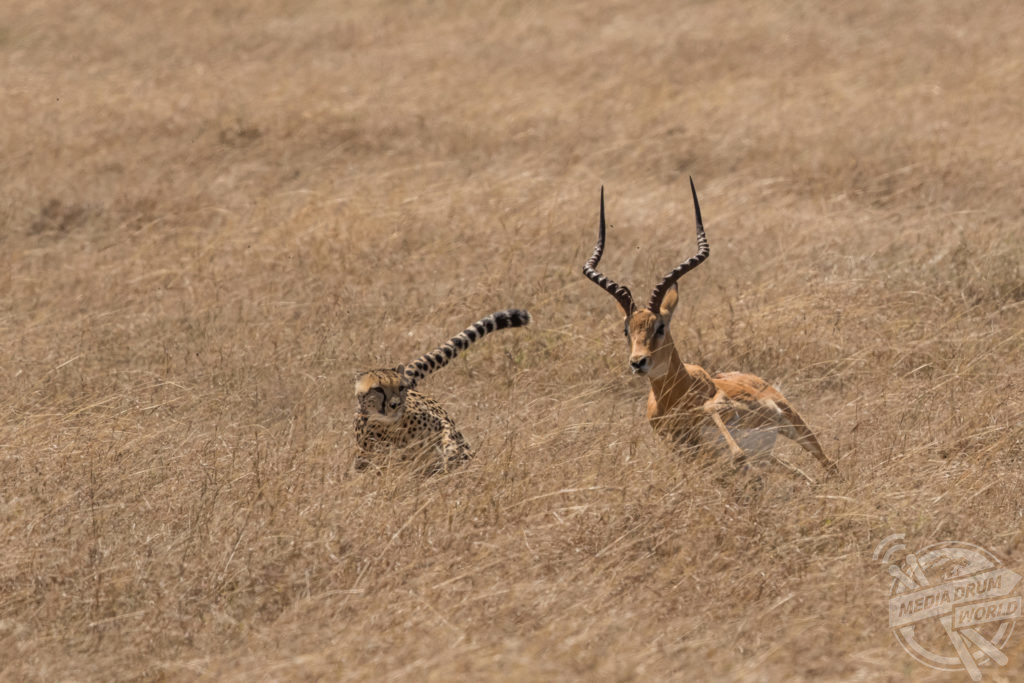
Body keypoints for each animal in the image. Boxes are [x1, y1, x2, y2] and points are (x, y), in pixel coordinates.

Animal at [354, 309, 532, 475]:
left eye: (400, 387)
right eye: (378, 389)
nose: (394, 404)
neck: (392, 426)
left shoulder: (441, 426)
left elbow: (448, 438)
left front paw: (453, 457)